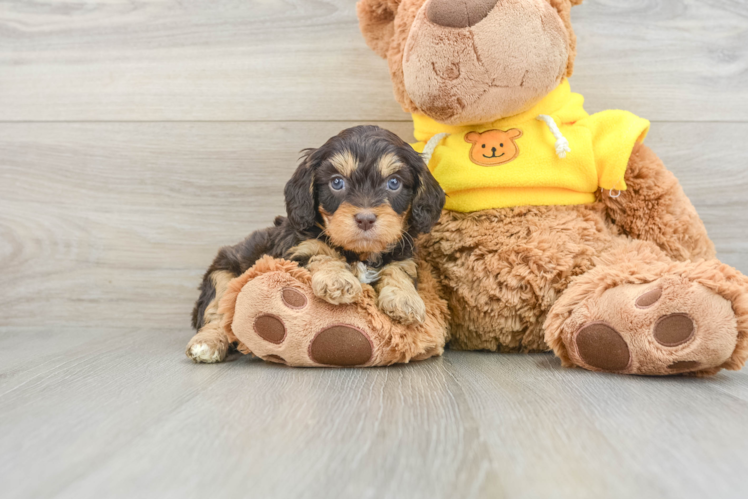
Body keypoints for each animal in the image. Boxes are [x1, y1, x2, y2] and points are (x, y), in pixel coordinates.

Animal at [187, 123, 444, 362]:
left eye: (393, 183)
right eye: (337, 183)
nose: (365, 218)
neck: (358, 253)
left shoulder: (403, 252)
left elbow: (399, 269)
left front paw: (405, 300)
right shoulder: (299, 249)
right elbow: (321, 253)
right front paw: (337, 280)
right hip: (222, 274)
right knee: (217, 314)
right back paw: (207, 344)